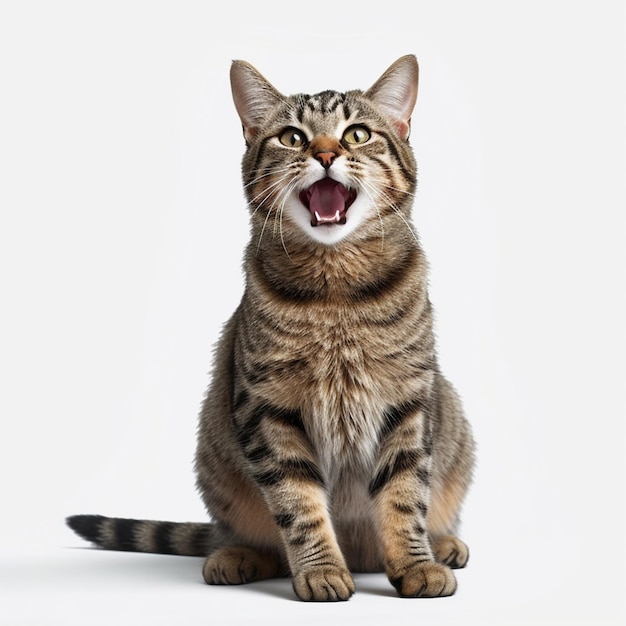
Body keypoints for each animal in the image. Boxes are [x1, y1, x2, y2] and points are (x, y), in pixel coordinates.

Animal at [67, 53, 472, 600]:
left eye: (357, 134)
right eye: (293, 138)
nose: (326, 153)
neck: (335, 292)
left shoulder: (408, 400)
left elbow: (405, 495)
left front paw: (415, 562)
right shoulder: (267, 407)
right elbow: (298, 503)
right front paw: (320, 569)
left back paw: (442, 543)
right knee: (245, 535)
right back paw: (236, 555)